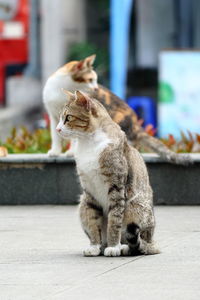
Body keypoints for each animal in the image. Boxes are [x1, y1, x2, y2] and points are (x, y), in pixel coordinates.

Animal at [43, 54, 191, 164]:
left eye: (96, 80)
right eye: (90, 80)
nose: (96, 88)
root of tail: (135, 123)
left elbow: (74, 136)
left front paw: (71, 152)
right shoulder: (53, 116)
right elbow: (55, 135)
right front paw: (55, 151)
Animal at [55, 90, 159, 256]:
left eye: (68, 117)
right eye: (59, 118)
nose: (57, 129)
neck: (88, 143)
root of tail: (153, 243)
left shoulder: (116, 186)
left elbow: (114, 220)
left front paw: (113, 246)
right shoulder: (89, 190)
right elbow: (93, 221)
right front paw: (94, 246)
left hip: (134, 208)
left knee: (138, 242)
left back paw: (123, 247)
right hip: (82, 204)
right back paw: (103, 245)